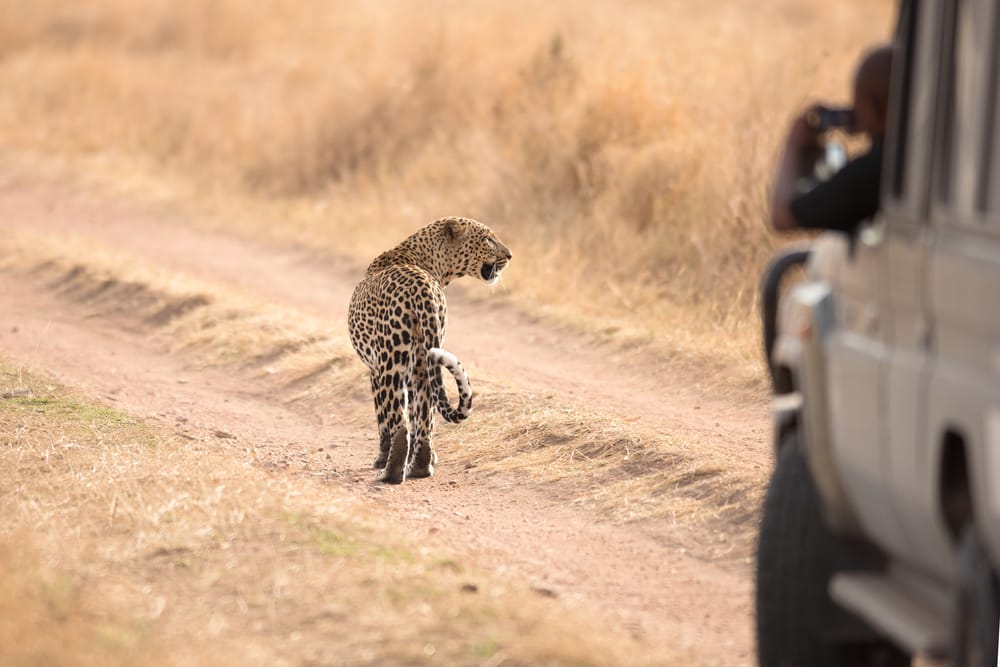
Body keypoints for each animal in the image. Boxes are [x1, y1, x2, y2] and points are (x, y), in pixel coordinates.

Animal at [347, 217, 512, 484]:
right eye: (488, 239)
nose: (510, 255)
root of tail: (421, 287)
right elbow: (418, 415)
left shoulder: (374, 369)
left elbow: (382, 416)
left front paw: (380, 458)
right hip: (424, 359)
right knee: (424, 412)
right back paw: (421, 466)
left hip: (391, 361)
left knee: (399, 421)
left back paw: (391, 472)